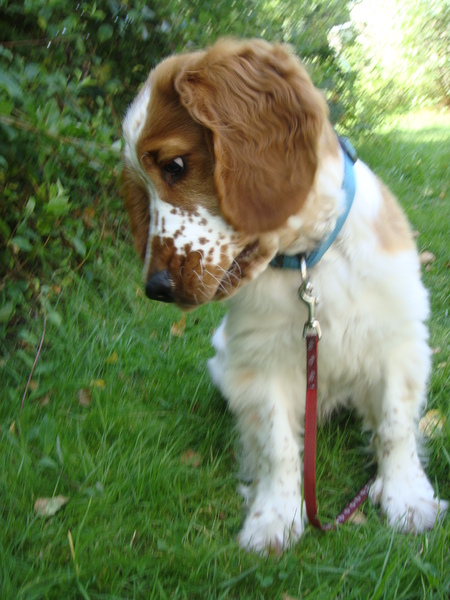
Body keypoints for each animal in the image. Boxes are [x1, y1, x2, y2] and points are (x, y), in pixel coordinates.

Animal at [122, 38, 446, 552]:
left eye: (175, 165)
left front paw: (408, 497)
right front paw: (274, 517)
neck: (307, 260)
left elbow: (396, 425)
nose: (155, 289)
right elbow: (278, 445)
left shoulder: (398, 339)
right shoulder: (260, 363)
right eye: (140, 185)